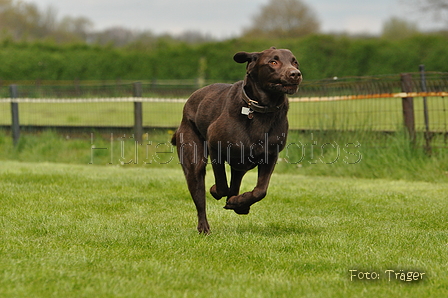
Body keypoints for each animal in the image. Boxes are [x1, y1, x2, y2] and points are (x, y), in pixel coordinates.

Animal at [172, 47, 300, 233]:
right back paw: (204, 227)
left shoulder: (270, 156)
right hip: (193, 160)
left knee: (234, 187)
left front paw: (239, 203)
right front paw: (216, 191)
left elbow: (260, 191)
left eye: (294, 62)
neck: (261, 111)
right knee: (201, 197)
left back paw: (237, 204)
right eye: (273, 62)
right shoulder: (215, 147)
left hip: (240, 167)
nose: (295, 74)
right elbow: (222, 185)